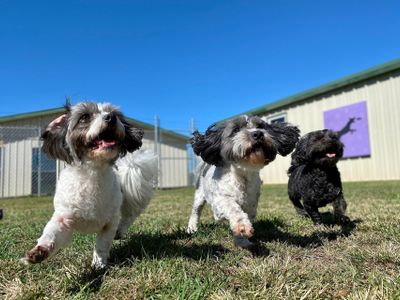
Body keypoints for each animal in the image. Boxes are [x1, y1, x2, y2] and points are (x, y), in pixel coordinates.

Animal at [21, 102, 157, 268]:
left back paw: (120, 230)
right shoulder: (63, 219)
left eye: (115, 114)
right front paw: (39, 251)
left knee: (129, 216)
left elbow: (102, 244)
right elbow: (50, 234)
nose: (111, 117)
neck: (93, 173)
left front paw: (98, 264)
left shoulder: (109, 223)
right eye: (84, 117)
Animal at [188, 116, 300, 247]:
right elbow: (233, 208)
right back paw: (192, 228)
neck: (242, 175)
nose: (258, 133)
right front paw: (241, 226)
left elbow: (248, 214)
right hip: (199, 196)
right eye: (236, 130)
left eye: (260, 126)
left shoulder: (251, 203)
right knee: (196, 211)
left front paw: (242, 241)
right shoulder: (220, 200)